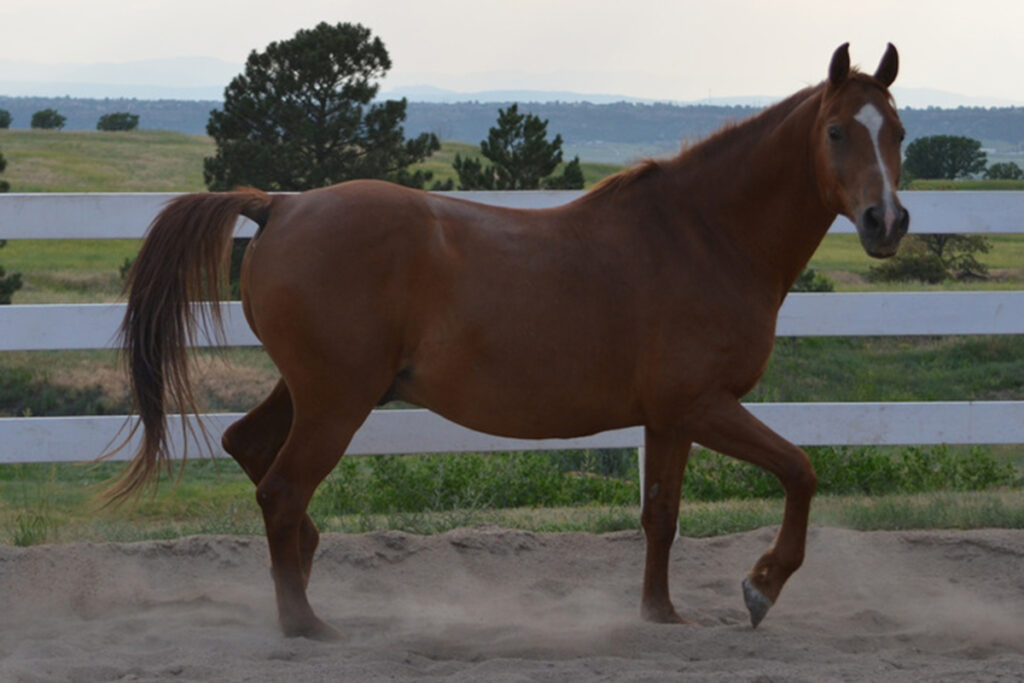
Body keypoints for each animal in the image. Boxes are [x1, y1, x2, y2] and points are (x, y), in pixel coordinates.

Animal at [110, 45, 913, 638]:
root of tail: (279, 205)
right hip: (337, 401)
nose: (886, 222)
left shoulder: (670, 418)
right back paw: (304, 622)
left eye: (898, 134)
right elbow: (801, 471)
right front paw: (760, 587)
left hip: (316, 391)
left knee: (248, 448)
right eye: (837, 131)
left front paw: (661, 614)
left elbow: (660, 515)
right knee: (279, 488)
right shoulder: (704, 405)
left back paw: (304, 570)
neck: (701, 235)